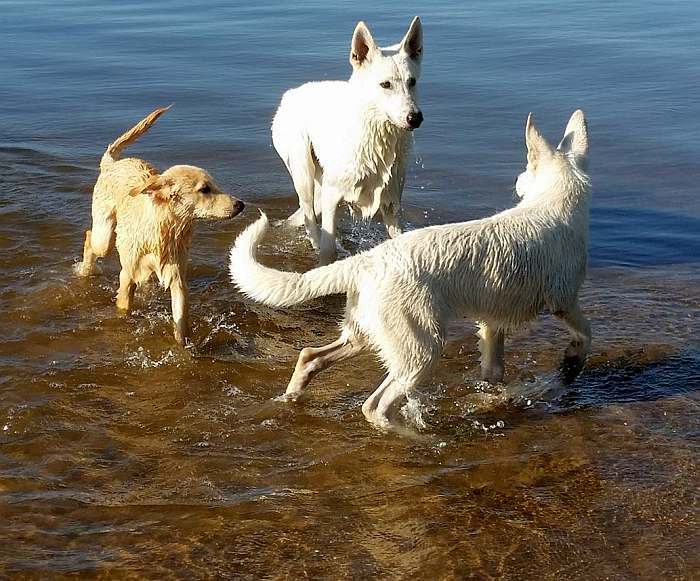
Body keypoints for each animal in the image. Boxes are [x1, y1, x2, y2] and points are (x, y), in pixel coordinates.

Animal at [77, 106, 243, 342]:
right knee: (90, 237)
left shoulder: (177, 277)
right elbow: (124, 307)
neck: (164, 229)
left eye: (215, 185)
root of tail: (112, 163)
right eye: (204, 189)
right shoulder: (127, 274)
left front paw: (184, 346)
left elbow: (180, 322)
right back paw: (85, 270)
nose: (241, 204)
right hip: (105, 235)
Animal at [232, 111, 592, 428]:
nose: (517, 182)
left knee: (310, 356)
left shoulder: (491, 322)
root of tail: (366, 260)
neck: (552, 204)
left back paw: (289, 399)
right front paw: (570, 364)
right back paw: (416, 437)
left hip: (366, 334)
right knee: (374, 406)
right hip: (421, 349)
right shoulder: (563, 300)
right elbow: (585, 334)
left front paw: (499, 396)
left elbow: (493, 371)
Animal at [270, 15, 424, 266]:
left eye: (412, 82)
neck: (375, 136)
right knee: (309, 217)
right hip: (304, 172)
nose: (415, 118)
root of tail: (291, 93)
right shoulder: (332, 195)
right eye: (385, 84)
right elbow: (328, 249)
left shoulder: (391, 202)